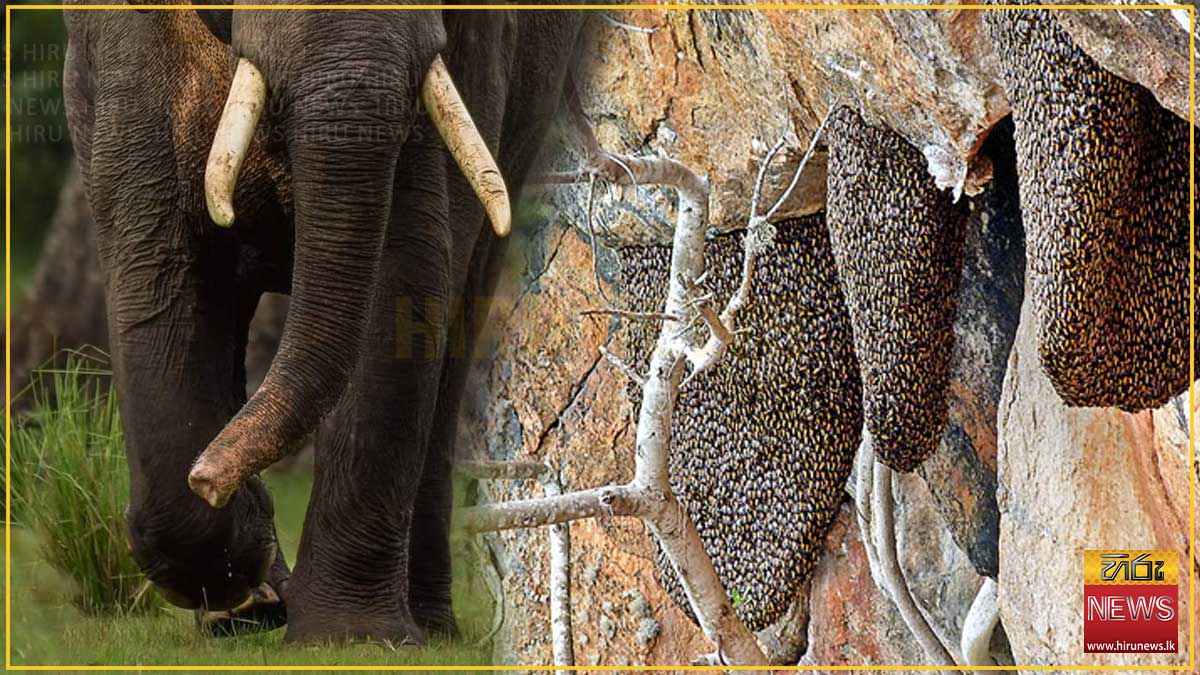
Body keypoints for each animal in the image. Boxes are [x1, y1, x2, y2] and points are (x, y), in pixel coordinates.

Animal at [63, 2, 585, 644]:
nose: (208, 477)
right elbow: (157, 267)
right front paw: (246, 585)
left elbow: (406, 272)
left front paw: (353, 639)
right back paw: (255, 608)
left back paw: (428, 626)